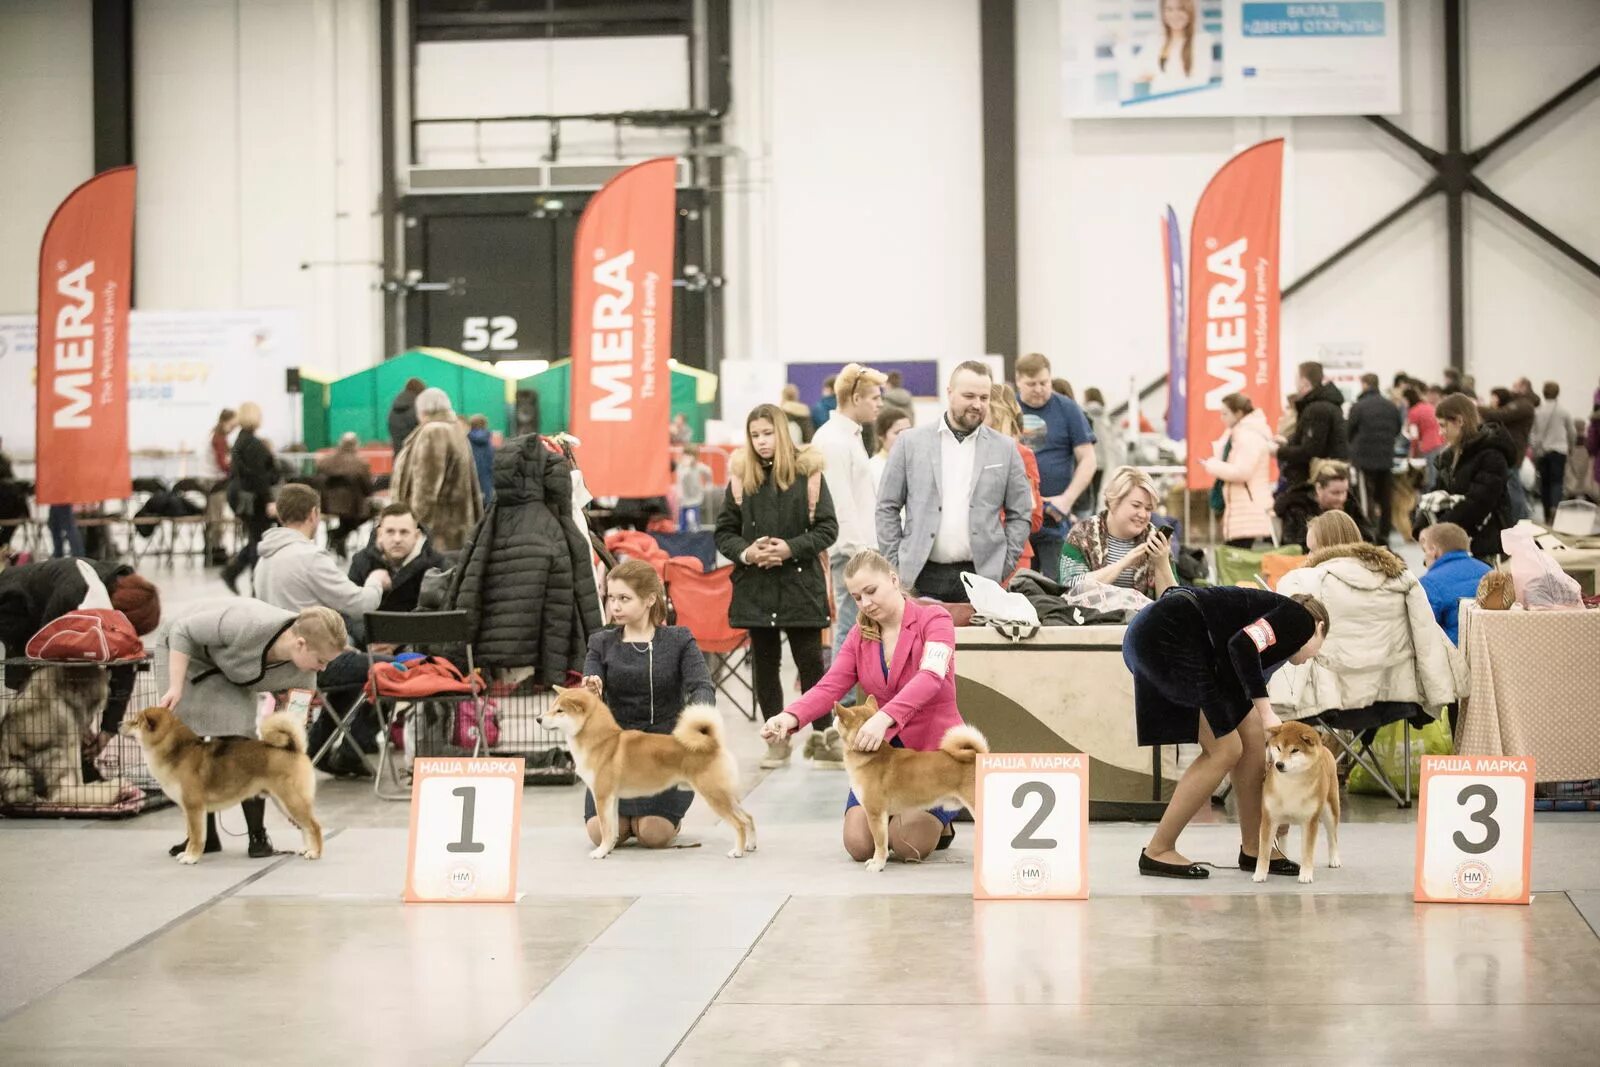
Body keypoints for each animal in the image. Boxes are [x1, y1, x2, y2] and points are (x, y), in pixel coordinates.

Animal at [123, 703, 323, 863]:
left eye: (135, 722)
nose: (119, 724)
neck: (178, 751)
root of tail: (294, 749)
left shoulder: (194, 807)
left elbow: (196, 836)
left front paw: (191, 857)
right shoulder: (188, 809)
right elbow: (191, 834)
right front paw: (187, 853)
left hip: (291, 801)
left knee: (314, 826)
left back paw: (315, 853)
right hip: (283, 803)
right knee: (304, 827)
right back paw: (306, 849)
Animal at [537, 694, 755, 857]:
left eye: (559, 711)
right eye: (551, 707)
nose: (538, 719)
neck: (601, 741)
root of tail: (712, 744)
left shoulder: (602, 796)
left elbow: (605, 829)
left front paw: (600, 853)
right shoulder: (612, 799)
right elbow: (613, 829)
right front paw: (609, 849)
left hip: (714, 795)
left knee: (739, 823)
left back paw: (737, 851)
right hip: (726, 795)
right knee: (748, 817)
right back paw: (751, 846)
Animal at [838, 697, 985, 870]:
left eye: (840, 718)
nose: (834, 717)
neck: (872, 757)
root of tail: (977, 756)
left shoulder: (875, 814)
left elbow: (879, 844)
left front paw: (878, 865)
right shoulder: (881, 816)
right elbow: (882, 842)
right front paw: (875, 861)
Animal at [1254, 723, 1344, 889]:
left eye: (1295, 750)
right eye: (1278, 748)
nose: (1279, 764)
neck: (1291, 783)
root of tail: (1325, 749)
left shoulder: (1310, 822)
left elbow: (1307, 852)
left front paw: (1306, 875)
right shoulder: (1269, 819)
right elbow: (1264, 851)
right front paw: (1260, 874)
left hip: (1331, 809)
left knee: (1332, 836)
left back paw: (1334, 859)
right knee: (1283, 835)